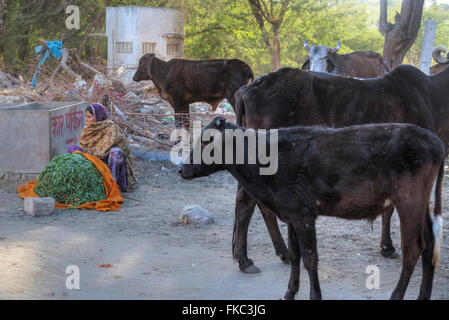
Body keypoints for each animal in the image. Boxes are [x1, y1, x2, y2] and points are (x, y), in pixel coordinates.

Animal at [231, 64, 448, 272]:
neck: (433, 95)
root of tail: (248, 89)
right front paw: (388, 247)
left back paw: (276, 252)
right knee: (246, 201)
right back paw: (245, 260)